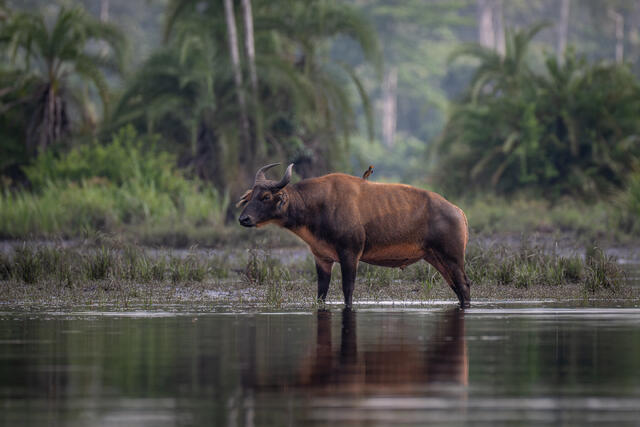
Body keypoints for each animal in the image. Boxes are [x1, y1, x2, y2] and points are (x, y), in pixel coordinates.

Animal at [238, 163, 471, 308]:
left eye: (266, 196)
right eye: (250, 196)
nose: (244, 219)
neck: (319, 205)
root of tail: (458, 211)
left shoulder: (350, 254)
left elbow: (347, 290)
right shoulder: (322, 258)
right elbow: (321, 293)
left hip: (453, 258)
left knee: (464, 285)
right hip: (436, 258)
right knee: (456, 288)